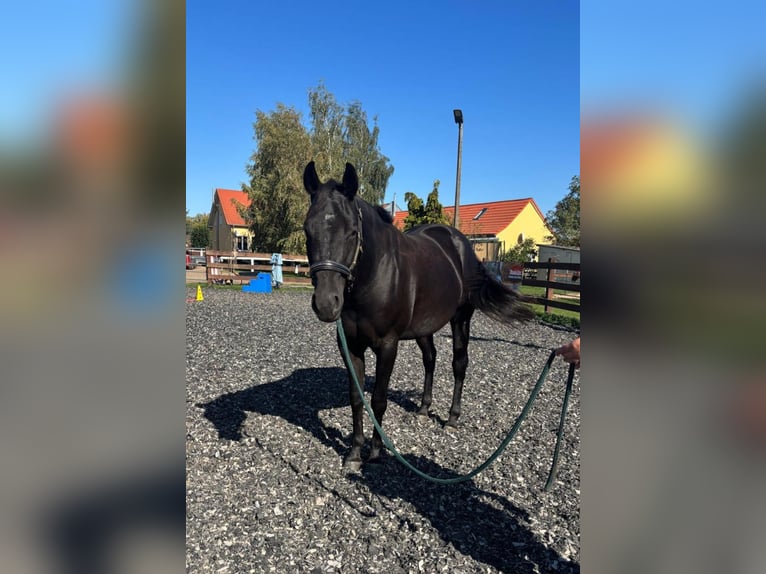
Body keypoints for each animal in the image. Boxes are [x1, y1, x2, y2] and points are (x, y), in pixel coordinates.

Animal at [303, 161, 534, 470]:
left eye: (352, 232)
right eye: (307, 230)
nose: (327, 303)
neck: (374, 274)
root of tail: (462, 246)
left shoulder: (388, 345)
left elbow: (378, 399)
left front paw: (375, 453)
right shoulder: (350, 345)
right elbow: (356, 397)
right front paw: (354, 453)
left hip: (461, 319)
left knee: (459, 364)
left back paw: (452, 418)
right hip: (425, 327)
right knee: (430, 359)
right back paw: (424, 408)